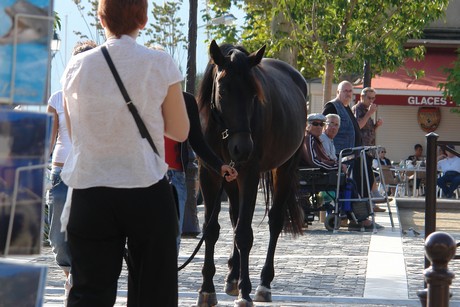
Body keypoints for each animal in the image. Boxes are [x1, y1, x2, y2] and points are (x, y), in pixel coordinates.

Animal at [196, 41, 308, 307]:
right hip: (230, 178)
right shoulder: (210, 174)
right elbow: (212, 230)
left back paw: (263, 284)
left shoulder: (249, 175)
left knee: (275, 221)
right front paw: (207, 289)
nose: (243, 148)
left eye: (254, 93)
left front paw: (245, 292)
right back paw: (232, 277)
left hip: (284, 169)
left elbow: (245, 234)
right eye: (223, 89)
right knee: (235, 217)